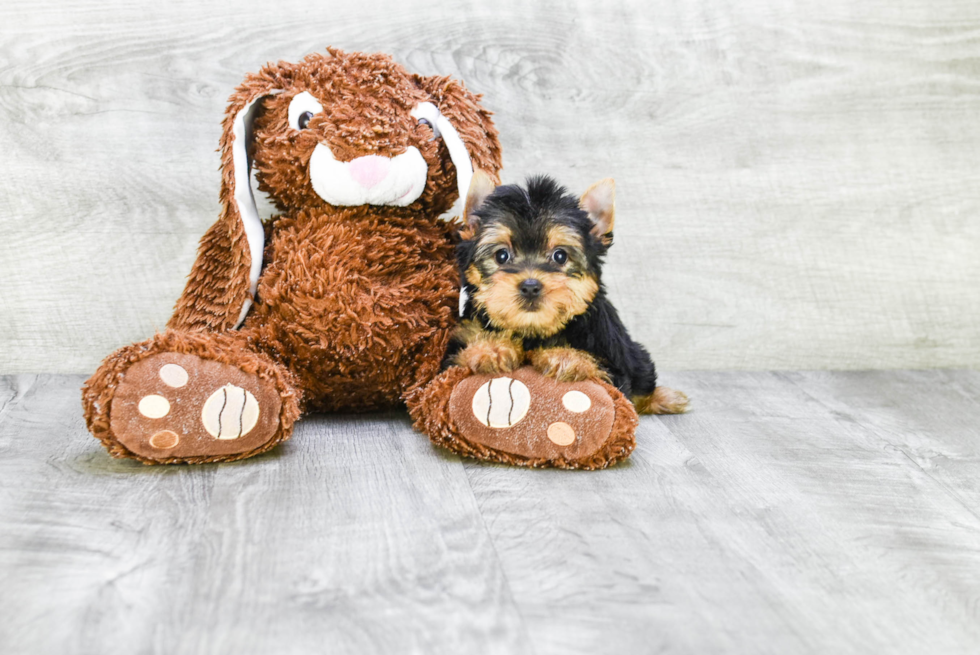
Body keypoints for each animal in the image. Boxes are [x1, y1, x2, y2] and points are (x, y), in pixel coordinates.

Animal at [444, 170, 688, 416]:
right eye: (501, 255)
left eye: (560, 256)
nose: (530, 286)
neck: (532, 331)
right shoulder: (457, 344)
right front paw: (490, 348)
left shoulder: (609, 357)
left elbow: (605, 376)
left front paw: (564, 356)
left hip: (633, 353)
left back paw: (666, 398)